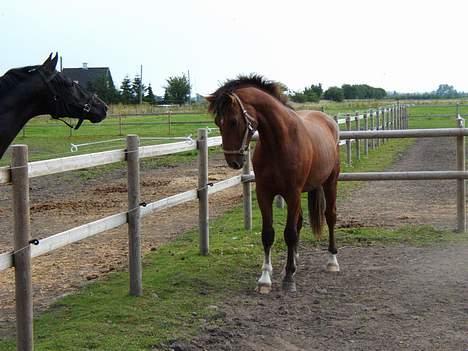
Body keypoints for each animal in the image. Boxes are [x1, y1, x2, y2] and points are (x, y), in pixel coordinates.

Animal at [208, 75, 340, 292]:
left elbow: (289, 233)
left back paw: (332, 261)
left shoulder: (292, 193)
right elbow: (268, 234)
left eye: (233, 121)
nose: (233, 161)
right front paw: (265, 278)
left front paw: (288, 279)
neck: (280, 142)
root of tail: (329, 122)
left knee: (330, 216)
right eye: (218, 122)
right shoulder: (265, 194)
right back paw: (294, 261)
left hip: (330, 182)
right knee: (299, 222)